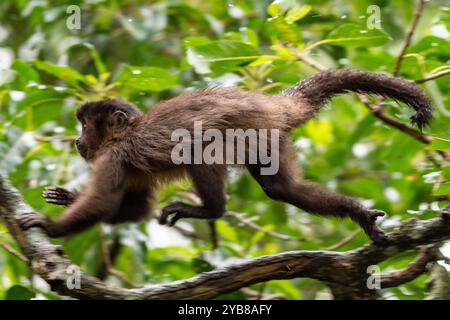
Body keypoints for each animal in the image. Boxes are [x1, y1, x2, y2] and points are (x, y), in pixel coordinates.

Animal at [19, 68, 434, 242]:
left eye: (84, 126)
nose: (76, 142)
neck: (127, 132)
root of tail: (273, 103)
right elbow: (135, 210)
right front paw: (67, 198)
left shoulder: (114, 155)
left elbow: (104, 202)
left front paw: (50, 227)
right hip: (269, 136)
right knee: (280, 188)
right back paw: (357, 213)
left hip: (250, 125)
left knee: (198, 150)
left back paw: (211, 211)